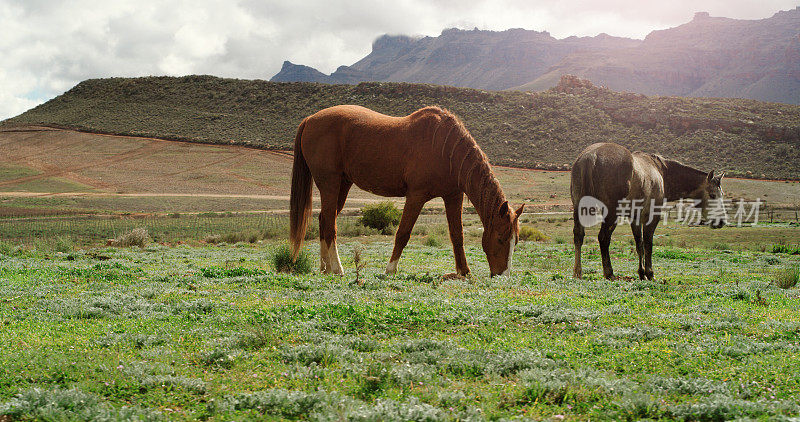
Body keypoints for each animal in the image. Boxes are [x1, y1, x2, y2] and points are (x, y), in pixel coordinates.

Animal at [288, 104, 524, 276]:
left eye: (516, 240)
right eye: (501, 238)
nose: (503, 276)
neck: (446, 149)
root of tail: (310, 119)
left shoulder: (453, 196)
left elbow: (457, 235)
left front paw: (464, 272)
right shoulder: (416, 196)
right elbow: (403, 233)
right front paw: (390, 270)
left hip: (343, 184)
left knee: (324, 219)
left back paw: (325, 268)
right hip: (330, 183)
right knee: (330, 225)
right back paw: (337, 268)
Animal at [568, 143, 724, 280]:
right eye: (712, 195)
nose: (721, 221)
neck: (660, 172)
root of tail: (590, 157)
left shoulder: (635, 218)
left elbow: (639, 245)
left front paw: (641, 273)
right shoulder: (651, 216)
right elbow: (648, 244)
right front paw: (649, 273)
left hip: (579, 209)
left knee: (579, 236)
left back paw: (578, 272)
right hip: (611, 214)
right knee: (603, 238)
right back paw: (609, 273)